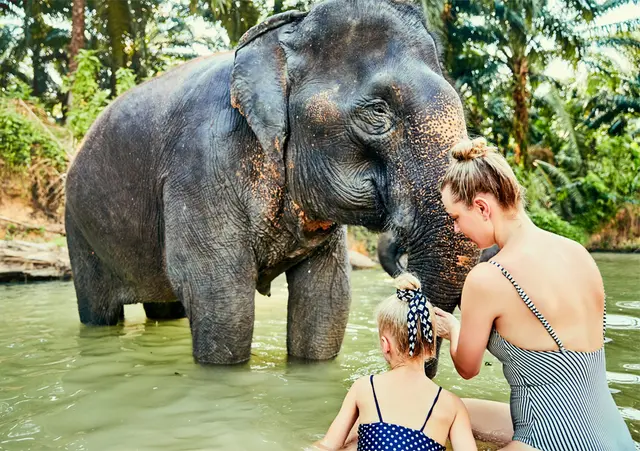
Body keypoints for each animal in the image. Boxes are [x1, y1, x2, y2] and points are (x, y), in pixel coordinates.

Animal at [64, 0, 478, 367]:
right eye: (378, 111)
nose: (425, 365)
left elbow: (327, 300)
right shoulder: (200, 168)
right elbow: (222, 300)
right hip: (79, 229)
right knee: (98, 310)